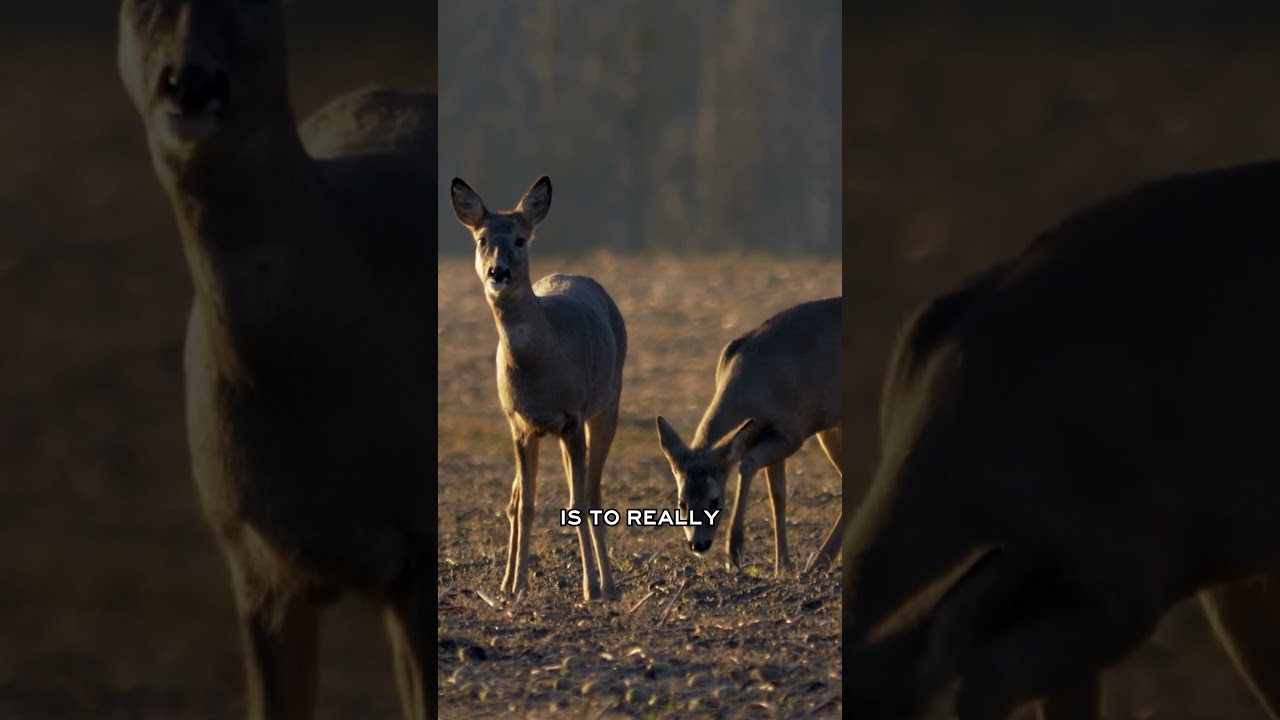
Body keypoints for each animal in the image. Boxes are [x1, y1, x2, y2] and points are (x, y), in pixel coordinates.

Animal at [449, 176, 626, 603]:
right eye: (481, 238)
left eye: (520, 239)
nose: (497, 272)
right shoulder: (520, 424)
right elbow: (526, 504)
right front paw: (516, 587)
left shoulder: (573, 416)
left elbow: (578, 502)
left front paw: (590, 587)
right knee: (517, 499)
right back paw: (505, 581)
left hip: (608, 404)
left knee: (593, 493)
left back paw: (609, 585)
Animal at [655, 296, 843, 577]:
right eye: (682, 503)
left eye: (715, 501)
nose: (698, 544)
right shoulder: (770, 437)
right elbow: (778, 496)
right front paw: (782, 566)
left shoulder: (791, 432)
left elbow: (747, 463)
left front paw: (735, 551)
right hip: (831, 428)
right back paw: (820, 562)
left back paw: (819, 562)